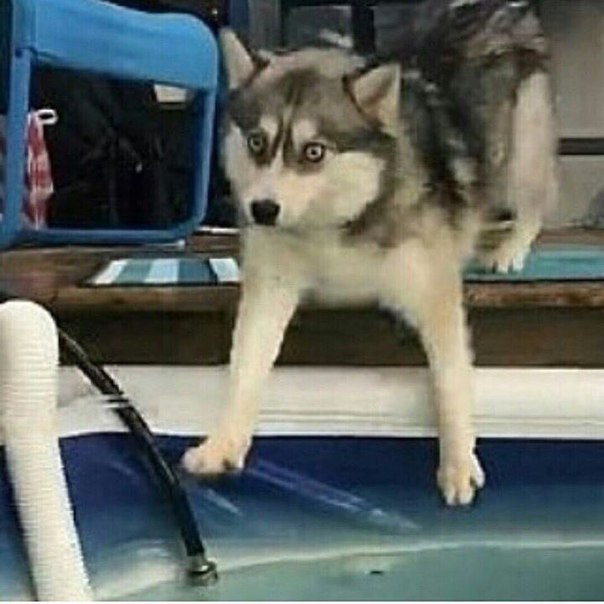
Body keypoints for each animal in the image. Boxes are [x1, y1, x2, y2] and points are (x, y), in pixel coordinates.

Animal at [183, 0, 558, 505]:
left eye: (314, 152)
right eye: (257, 142)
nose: (261, 209)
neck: (334, 222)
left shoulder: (434, 291)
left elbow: (449, 379)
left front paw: (458, 461)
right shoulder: (272, 283)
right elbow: (247, 363)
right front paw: (224, 442)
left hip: (520, 153)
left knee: (532, 198)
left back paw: (512, 245)